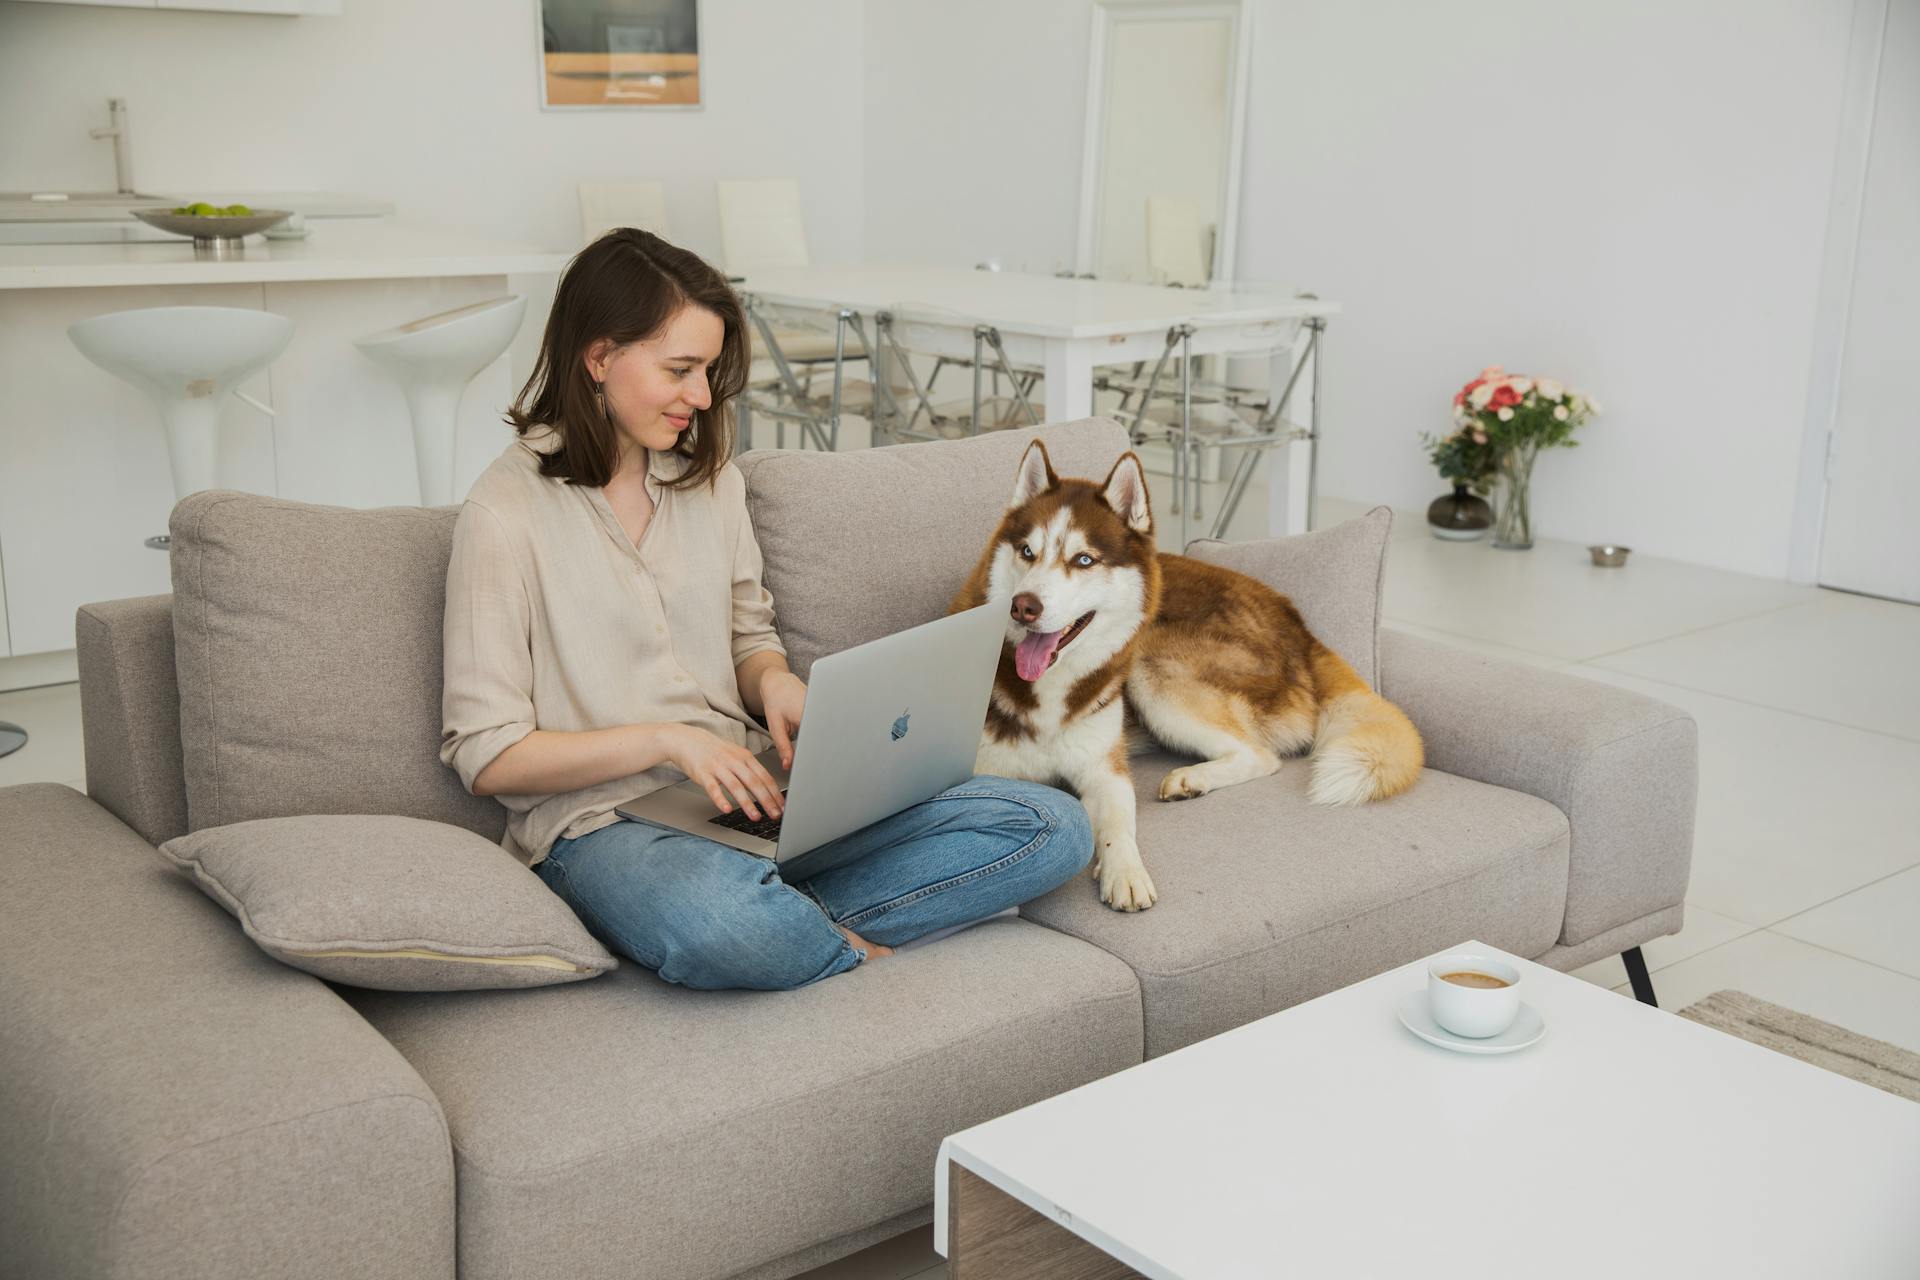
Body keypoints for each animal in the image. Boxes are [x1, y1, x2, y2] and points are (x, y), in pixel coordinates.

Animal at [948, 441, 1428, 909]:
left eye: (1083, 560)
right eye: (1027, 552)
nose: (1023, 606)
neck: (1049, 690)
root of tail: (1299, 627)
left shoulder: (1106, 770)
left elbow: (1119, 825)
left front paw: (1125, 872)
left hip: (1150, 661)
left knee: (1262, 755)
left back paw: (1192, 779)